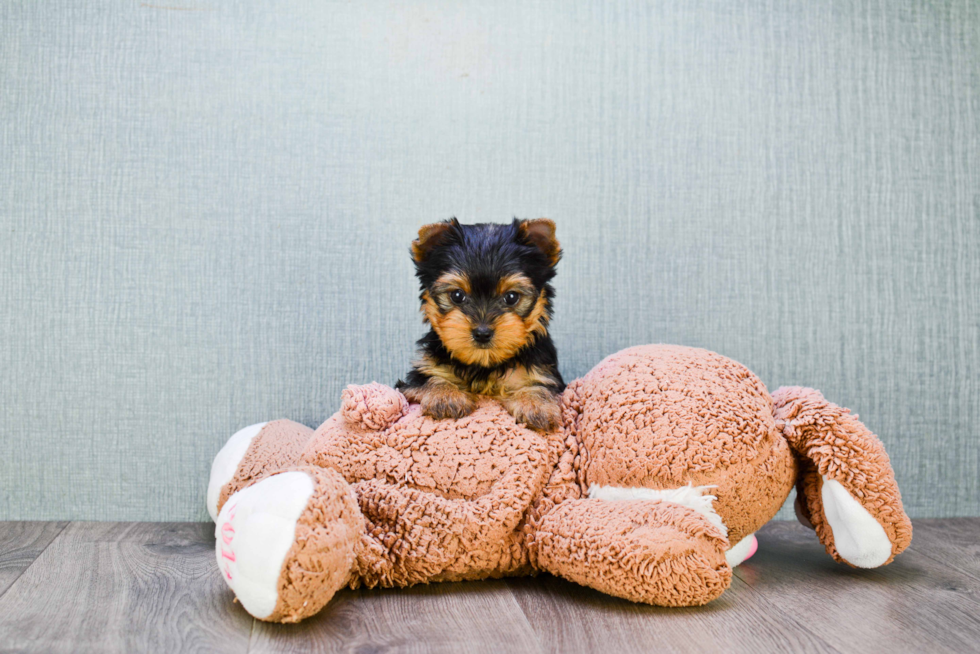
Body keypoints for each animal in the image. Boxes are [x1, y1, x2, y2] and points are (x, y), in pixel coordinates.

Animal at [396, 219, 568, 436]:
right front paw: (445, 396)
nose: (482, 333)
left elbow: (539, 385)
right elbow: (429, 379)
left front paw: (537, 405)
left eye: (511, 297)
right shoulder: (413, 380)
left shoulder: (544, 372)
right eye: (457, 295)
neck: (484, 364)